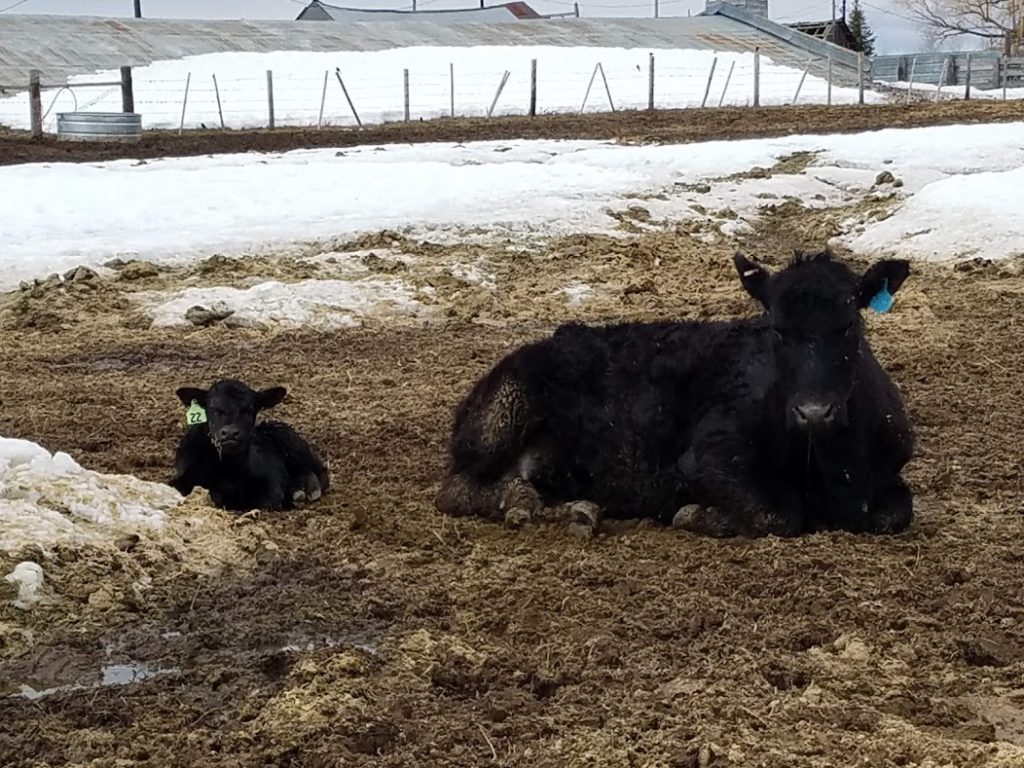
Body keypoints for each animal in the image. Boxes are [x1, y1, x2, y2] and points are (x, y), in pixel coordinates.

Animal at [436, 249, 917, 536]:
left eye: (850, 324)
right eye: (777, 329)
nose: (814, 413)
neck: (836, 466)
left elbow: (897, 511)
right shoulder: (709, 457)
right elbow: (779, 514)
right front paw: (697, 515)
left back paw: (579, 509)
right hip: (501, 414)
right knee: (456, 488)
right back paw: (520, 502)